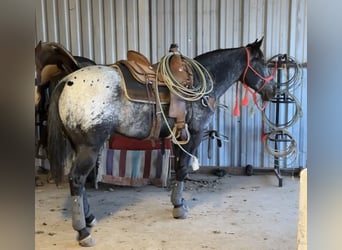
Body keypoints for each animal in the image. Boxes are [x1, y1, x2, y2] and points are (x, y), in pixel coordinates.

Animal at [46, 37, 276, 246]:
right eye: (264, 63)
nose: (273, 91)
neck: (202, 83)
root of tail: (67, 81)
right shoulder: (195, 133)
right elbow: (183, 169)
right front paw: (179, 208)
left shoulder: (179, 136)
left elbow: (178, 167)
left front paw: (178, 202)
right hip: (89, 147)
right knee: (76, 179)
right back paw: (83, 232)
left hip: (78, 146)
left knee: (79, 181)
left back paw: (89, 218)